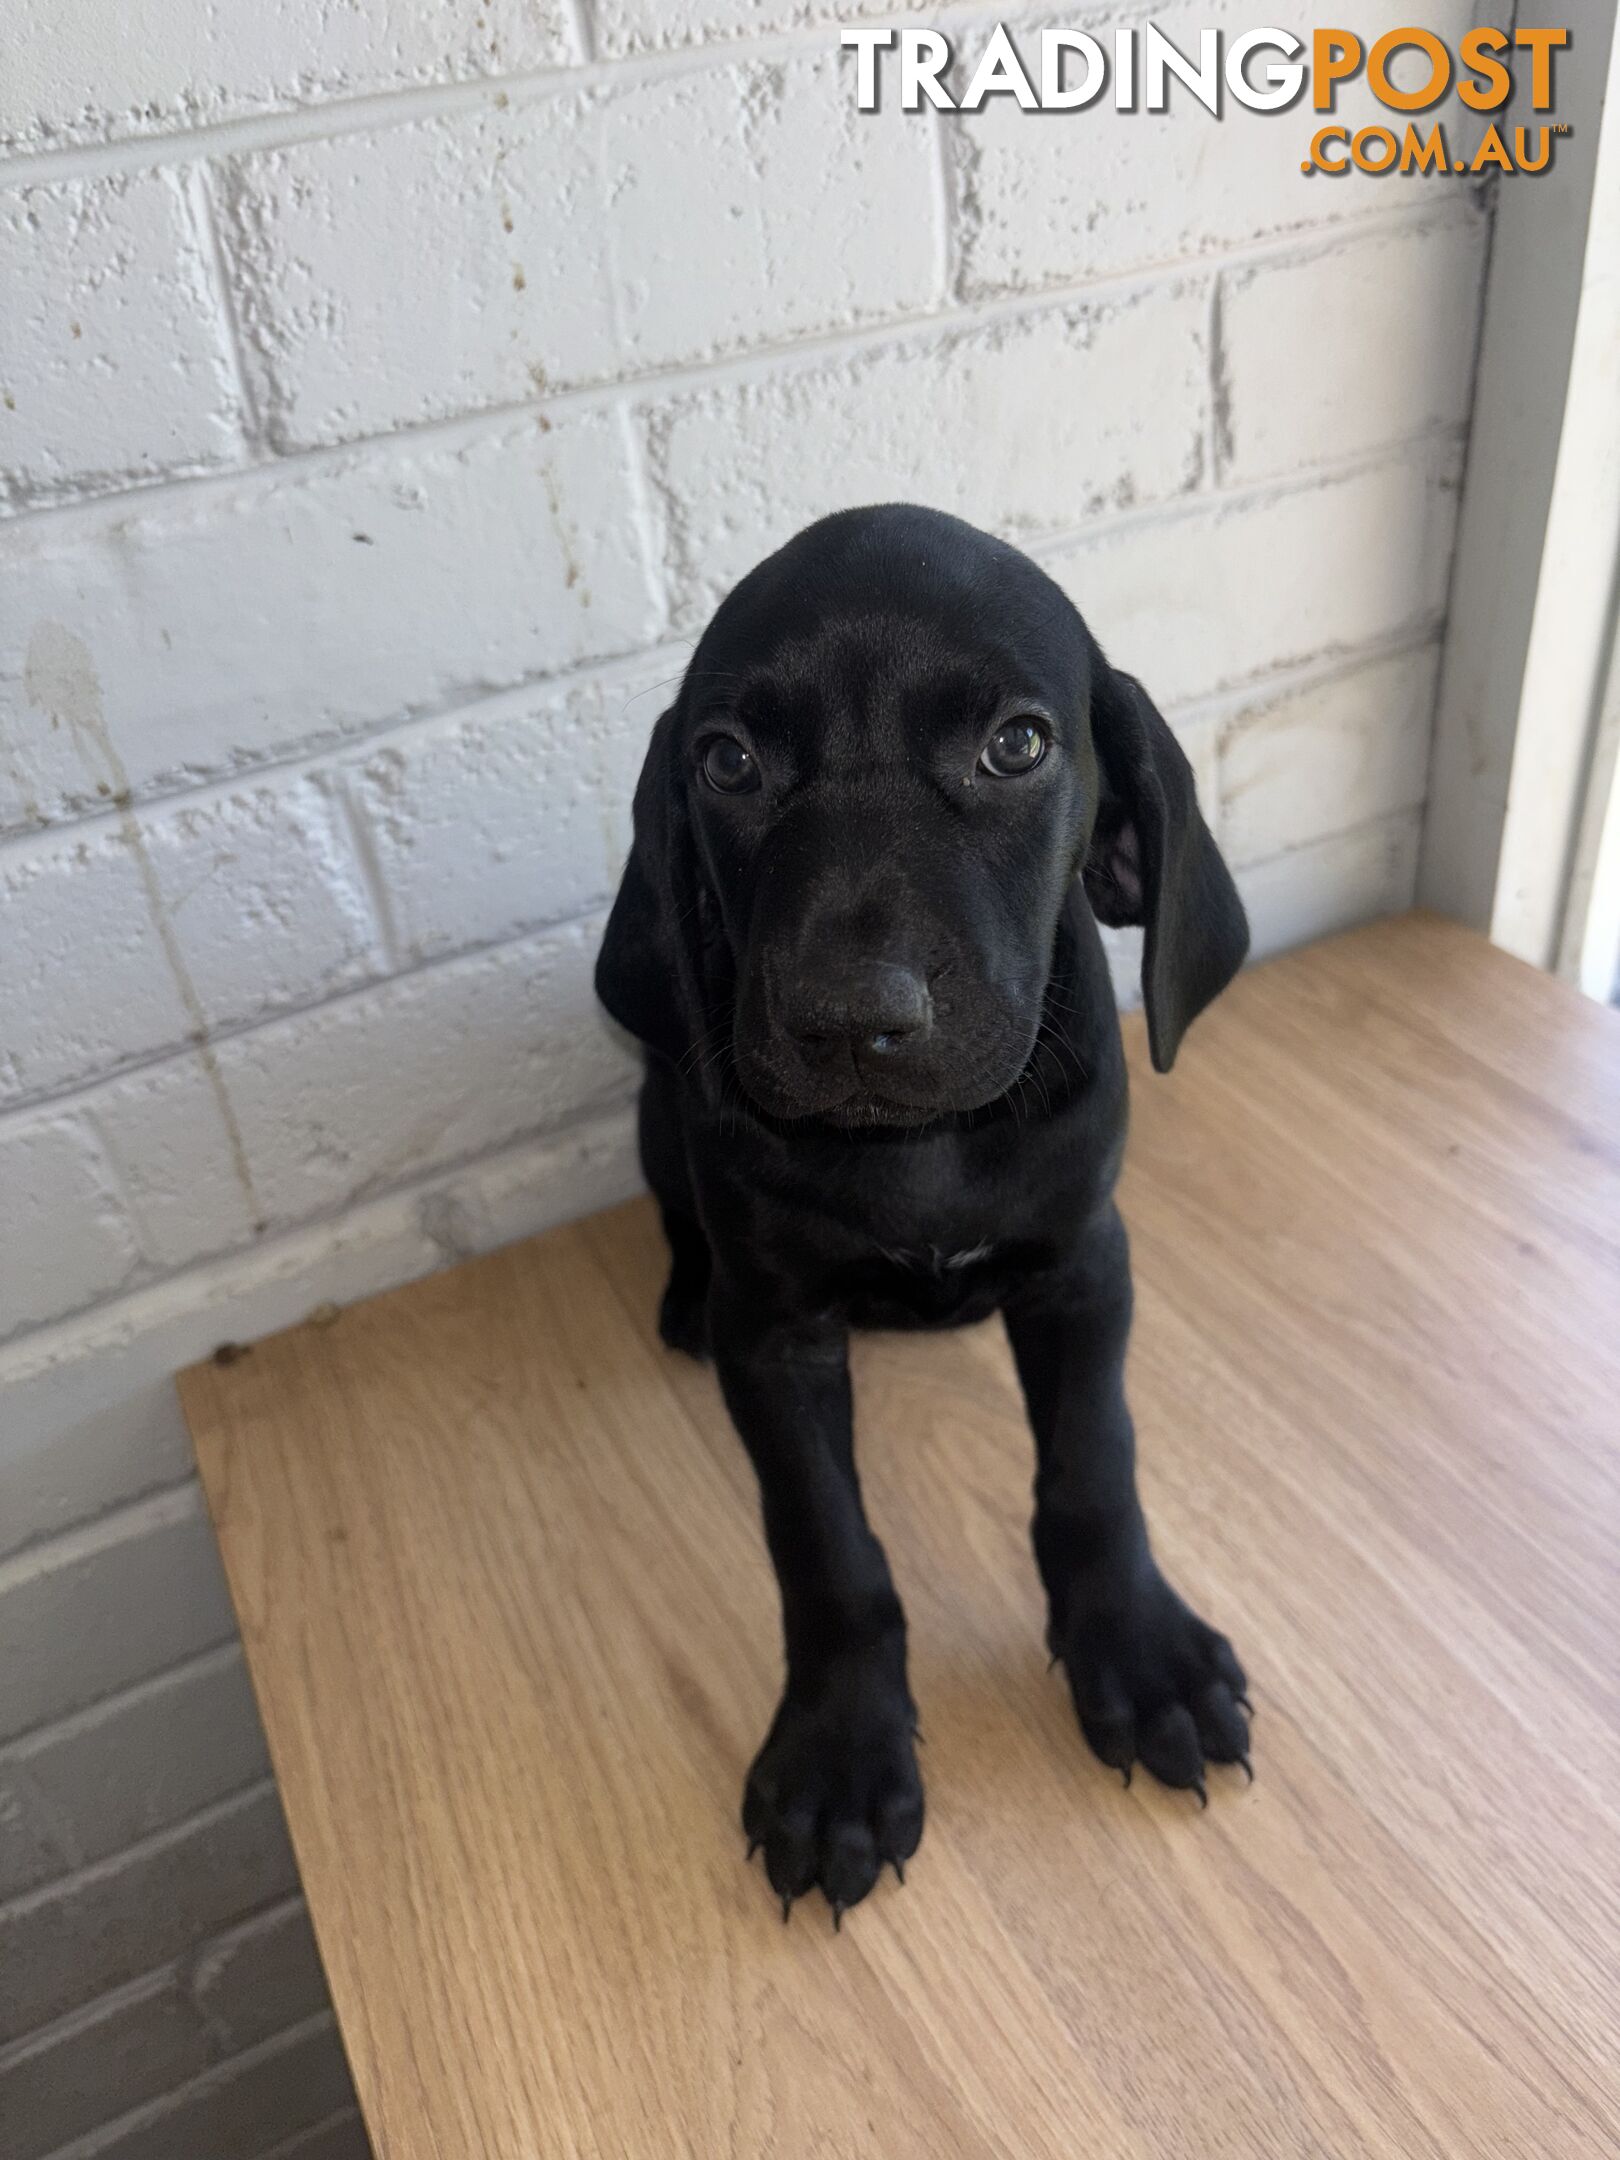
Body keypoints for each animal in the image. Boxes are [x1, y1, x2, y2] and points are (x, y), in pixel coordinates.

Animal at [596, 505, 1252, 1926]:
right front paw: (839, 1752)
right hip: (658, 1111)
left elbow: (1094, 1464)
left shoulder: (1084, 1267)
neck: (923, 1149)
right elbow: (825, 1546)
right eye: (726, 760)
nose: (852, 1020)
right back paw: (678, 1295)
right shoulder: (777, 1335)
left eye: (1017, 744)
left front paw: (1137, 1651)